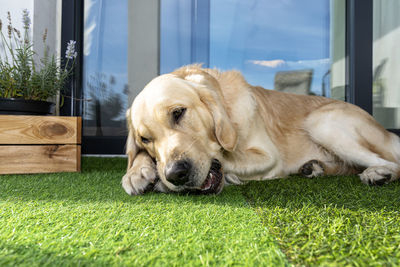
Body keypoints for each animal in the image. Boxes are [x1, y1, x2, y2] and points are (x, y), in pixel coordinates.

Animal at [121, 64, 400, 196]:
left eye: (178, 112)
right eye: (145, 139)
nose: (175, 174)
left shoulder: (268, 156)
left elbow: (227, 157)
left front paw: (159, 181)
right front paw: (137, 172)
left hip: (323, 123)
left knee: (392, 163)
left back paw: (378, 173)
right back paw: (315, 167)